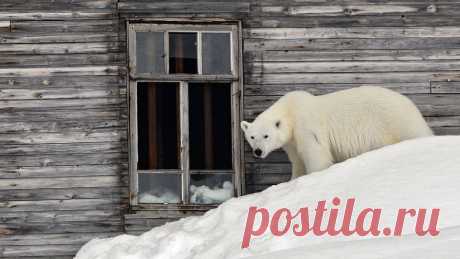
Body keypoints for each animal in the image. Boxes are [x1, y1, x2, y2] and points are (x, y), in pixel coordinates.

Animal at [243, 86, 434, 180]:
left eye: (266, 135)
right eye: (252, 137)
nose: (257, 151)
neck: (290, 111)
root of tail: (410, 104)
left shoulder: (306, 126)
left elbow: (316, 154)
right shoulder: (292, 142)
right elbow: (297, 161)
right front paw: (293, 179)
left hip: (396, 121)